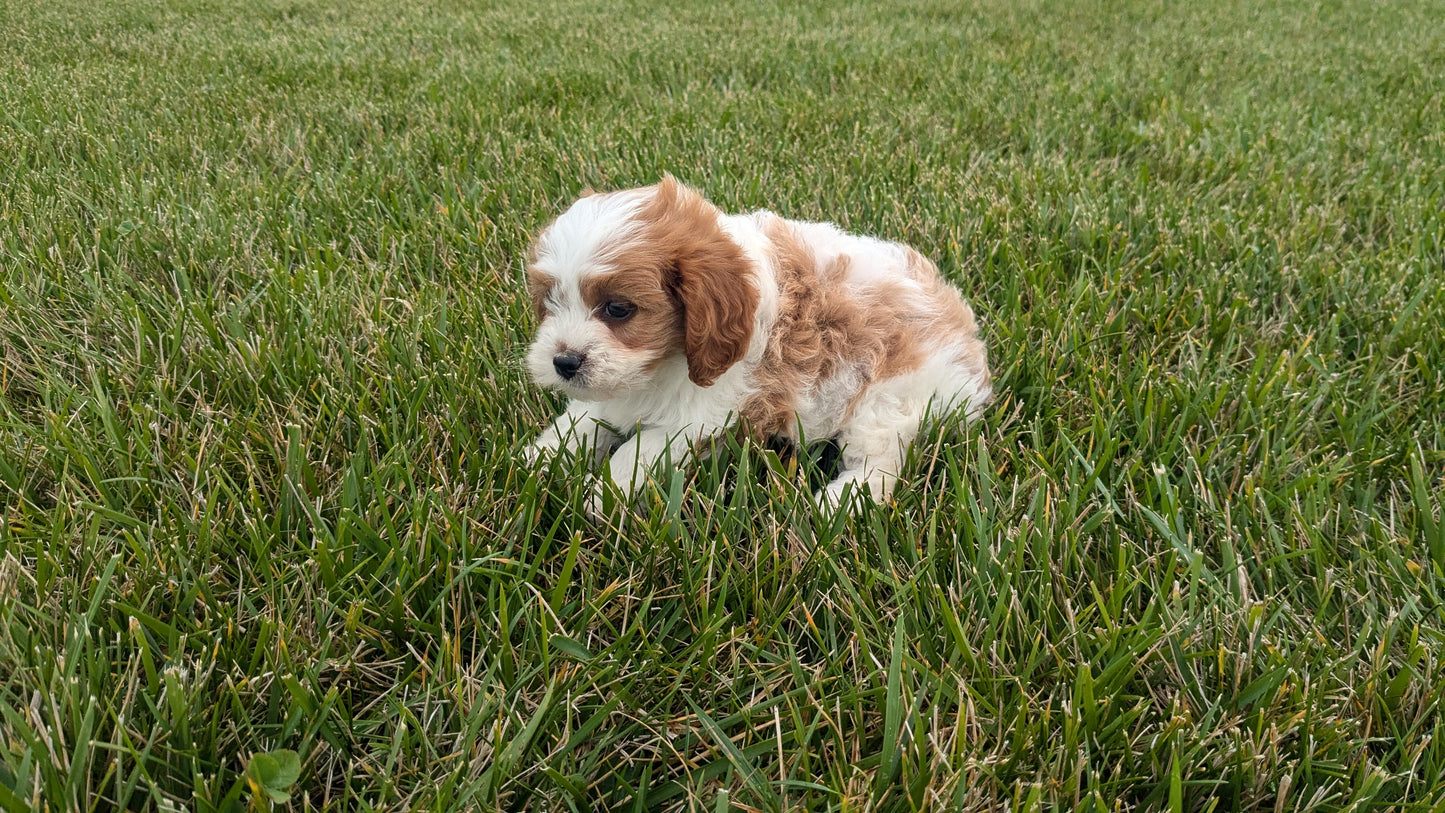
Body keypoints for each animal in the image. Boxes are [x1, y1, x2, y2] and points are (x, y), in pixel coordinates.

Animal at [528, 178, 994, 508]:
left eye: (618, 309)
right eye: (549, 302)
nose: (563, 362)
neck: (665, 364)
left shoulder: (707, 416)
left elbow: (641, 450)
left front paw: (602, 495)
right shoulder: (614, 394)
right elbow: (581, 421)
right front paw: (536, 461)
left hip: (887, 399)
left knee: (882, 464)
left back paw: (835, 506)